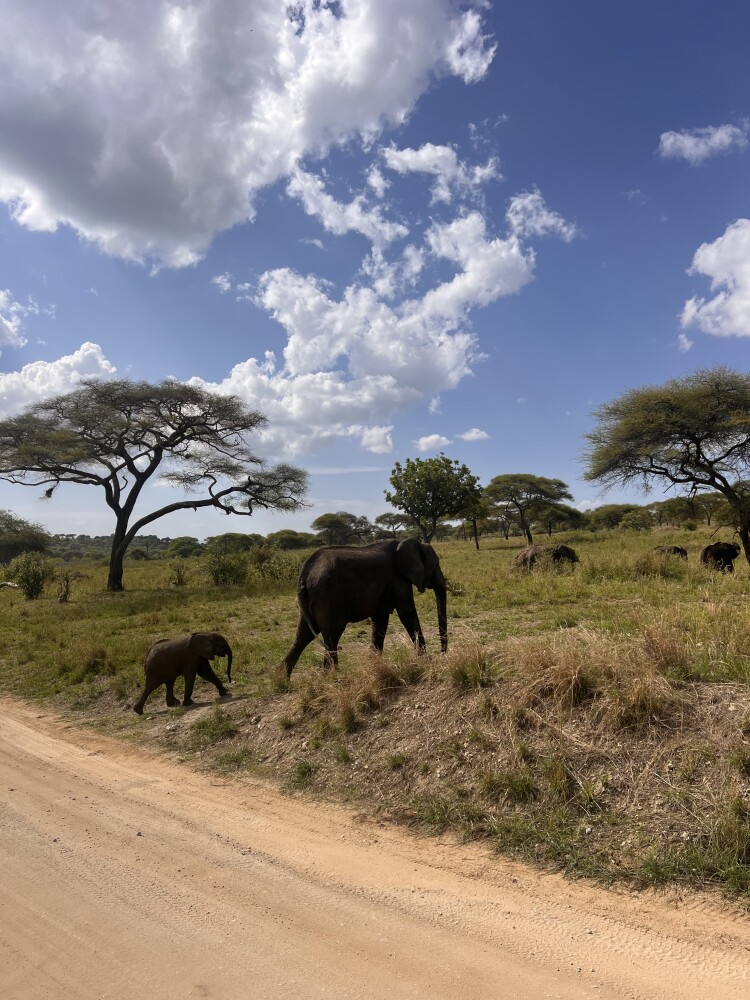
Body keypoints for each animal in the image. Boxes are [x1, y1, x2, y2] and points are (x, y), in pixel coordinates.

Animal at [282, 538, 448, 676]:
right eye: (436, 564)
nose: (443, 654)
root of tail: (304, 575)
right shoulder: (398, 579)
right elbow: (407, 612)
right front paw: (427, 661)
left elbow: (380, 621)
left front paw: (375, 665)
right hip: (328, 596)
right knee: (331, 636)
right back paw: (334, 676)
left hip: (312, 601)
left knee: (304, 635)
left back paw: (284, 679)